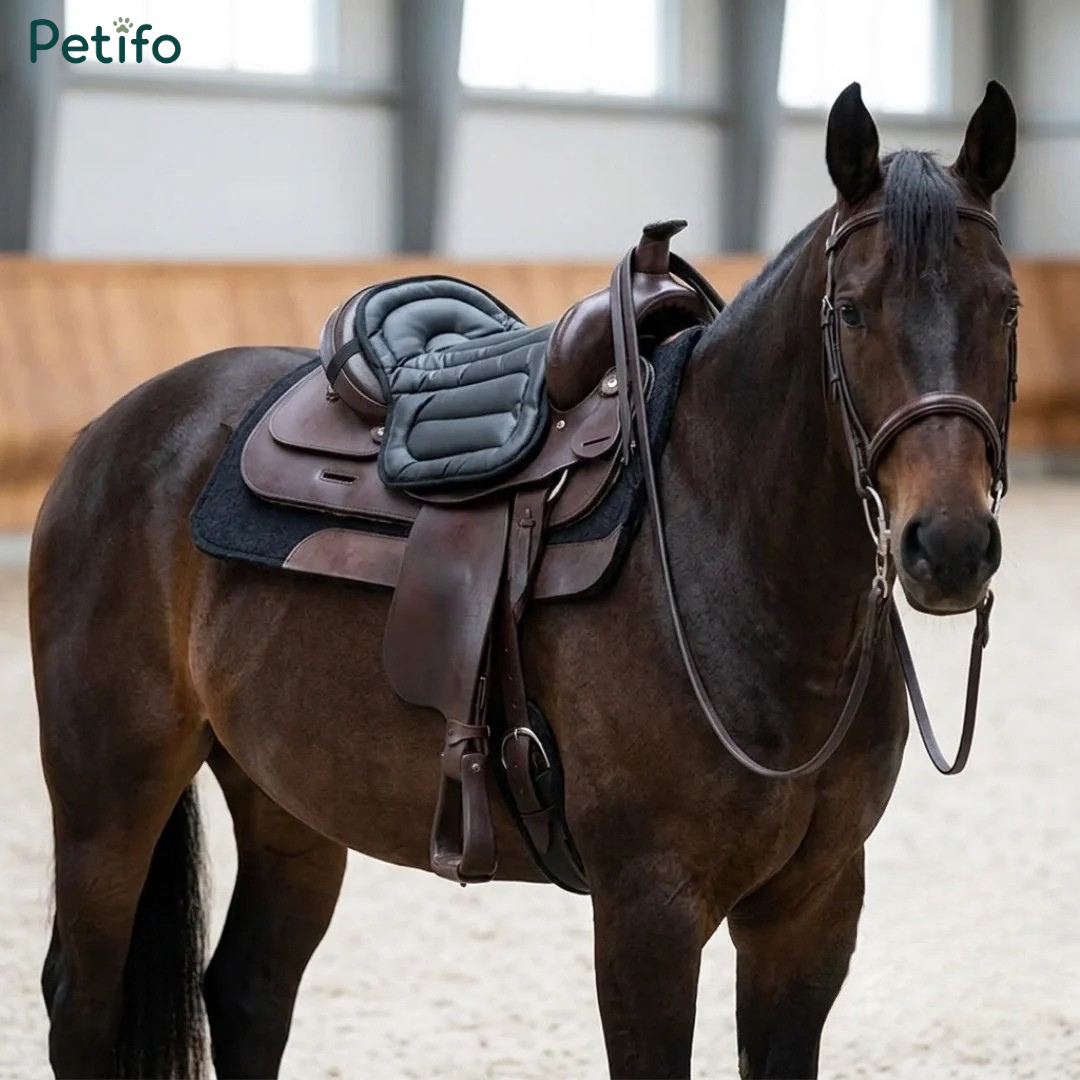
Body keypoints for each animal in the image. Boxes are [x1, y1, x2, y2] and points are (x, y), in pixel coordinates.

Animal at [31, 81, 1018, 1079]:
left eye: (1008, 308)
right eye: (851, 310)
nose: (949, 545)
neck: (734, 565)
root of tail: (111, 430)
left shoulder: (813, 910)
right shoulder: (649, 914)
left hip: (287, 797)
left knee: (248, 990)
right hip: (108, 792)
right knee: (82, 1004)